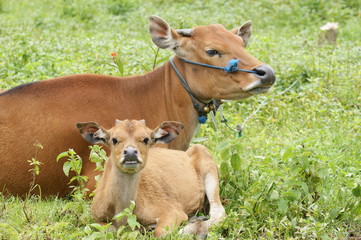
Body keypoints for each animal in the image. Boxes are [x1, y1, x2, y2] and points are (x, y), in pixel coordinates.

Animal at [77, 119, 224, 236]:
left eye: (146, 139)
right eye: (114, 139)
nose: (130, 152)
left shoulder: (173, 210)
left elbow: (160, 232)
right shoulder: (94, 218)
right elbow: (106, 229)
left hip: (207, 162)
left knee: (218, 212)